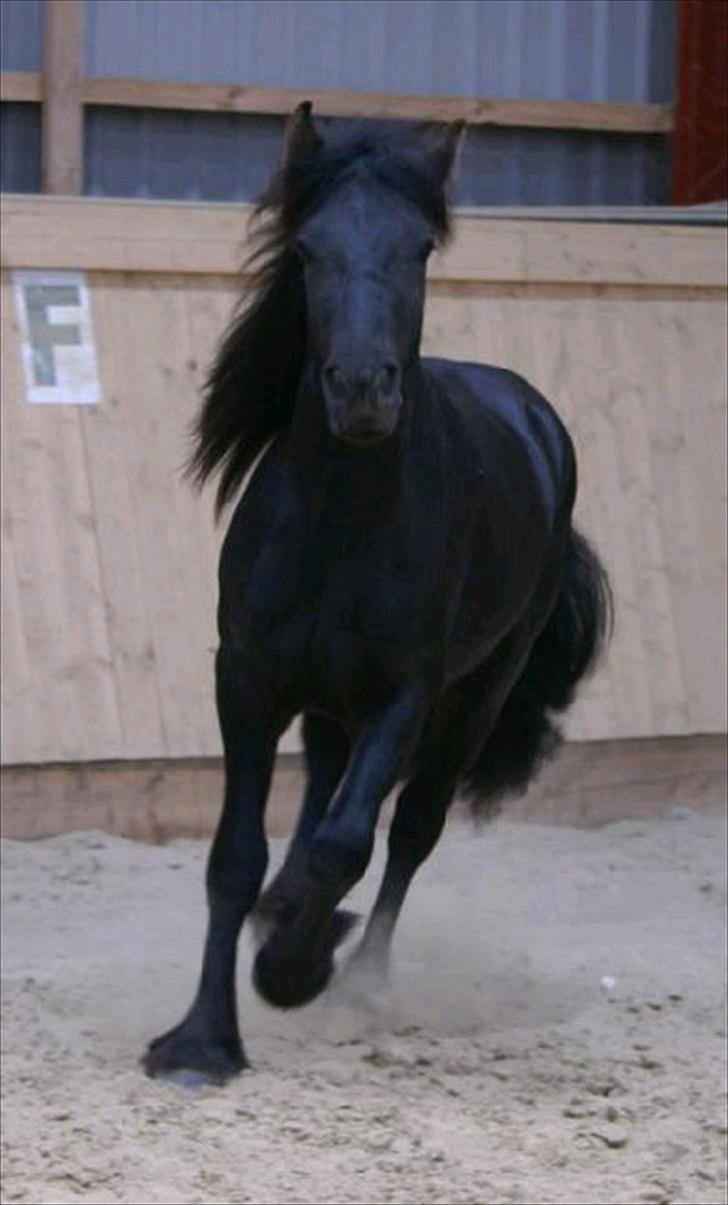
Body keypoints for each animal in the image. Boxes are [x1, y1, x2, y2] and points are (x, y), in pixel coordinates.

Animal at [143, 104, 611, 1085]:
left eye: (419, 248)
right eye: (309, 248)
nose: (362, 389)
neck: (339, 524)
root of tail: (532, 418)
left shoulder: (407, 694)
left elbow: (348, 844)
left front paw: (292, 970)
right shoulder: (246, 681)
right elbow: (234, 856)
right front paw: (202, 1038)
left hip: (473, 698)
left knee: (409, 830)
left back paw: (356, 972)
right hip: (330, 698)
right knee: (326, 780)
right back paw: (289, 913)